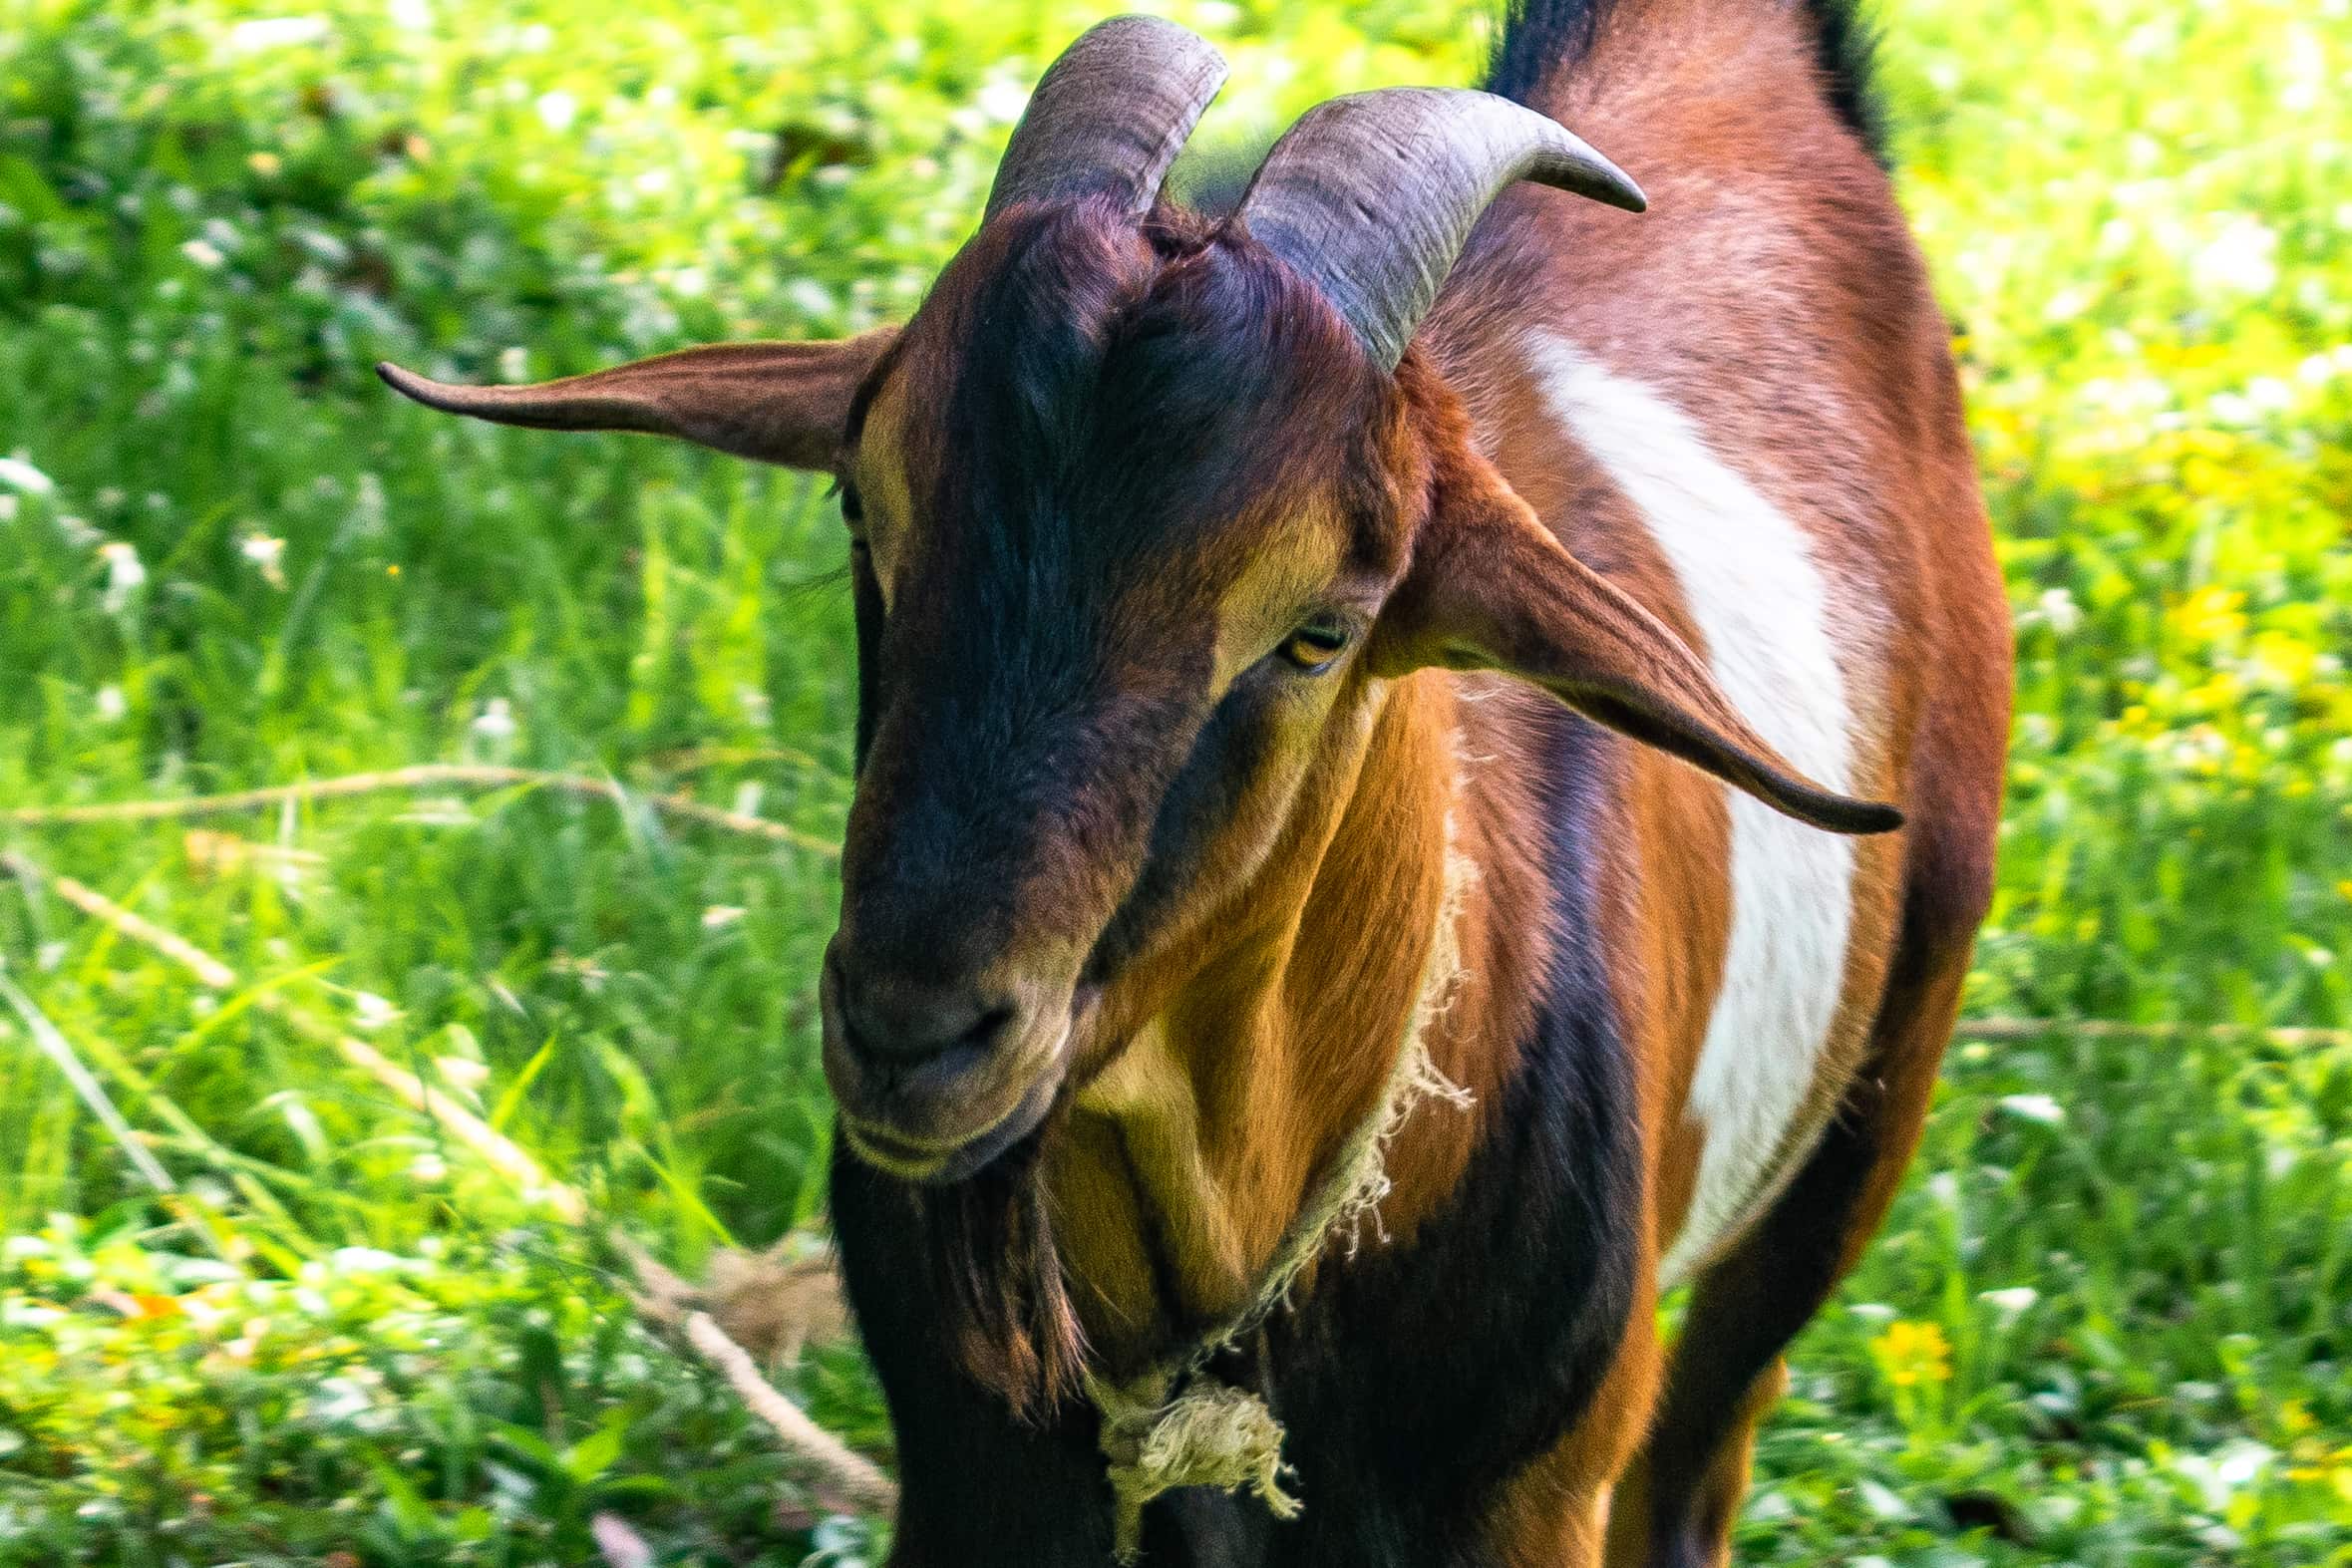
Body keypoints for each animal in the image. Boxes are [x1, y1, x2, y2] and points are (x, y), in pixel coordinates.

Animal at [381, 6, 2003, 1560]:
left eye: (1320, 629)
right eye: (864, 506)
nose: (914, 1031)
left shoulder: (1533, 1494)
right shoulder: (975, 1488)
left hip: (1872, 1090)